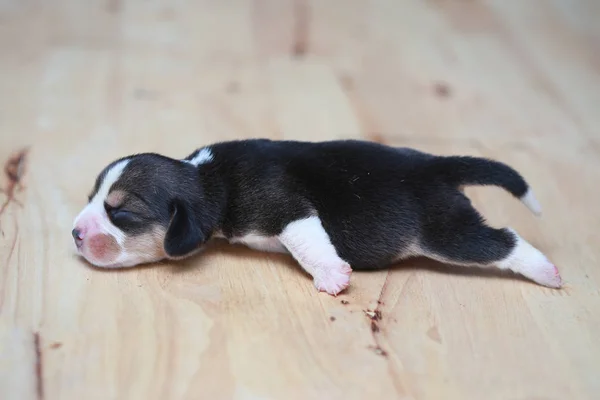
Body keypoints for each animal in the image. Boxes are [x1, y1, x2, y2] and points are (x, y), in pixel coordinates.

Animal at [71, 139, 564, 296]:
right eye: (93, 197)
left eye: (121, 212)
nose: (74, 233)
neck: (209, 178)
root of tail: (435, 165)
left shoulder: (288, 211)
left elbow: (309, 243)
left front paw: (332, 275)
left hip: (446, 233)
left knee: (504, 240)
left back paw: (547, 272)